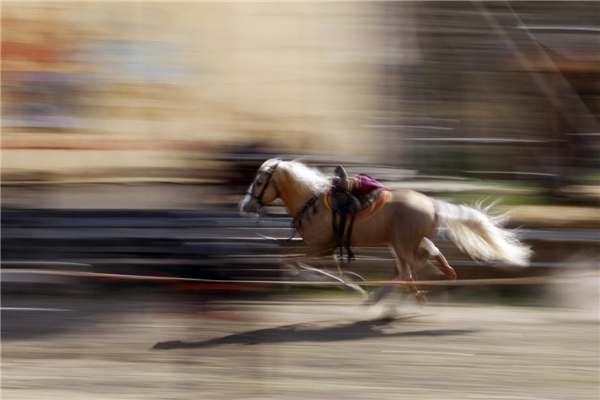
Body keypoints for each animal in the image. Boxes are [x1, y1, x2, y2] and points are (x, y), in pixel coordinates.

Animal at [238, 158, 528, 304]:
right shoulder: (325, 249)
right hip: (399, 242)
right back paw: (442, 274)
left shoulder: (319, 247)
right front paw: (350, 283)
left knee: (410, 269)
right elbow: (310, 263)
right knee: (420, 260)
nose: (244, 206)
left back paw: (394, 295)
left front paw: (348, 285)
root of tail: (433, 204)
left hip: (400, 243)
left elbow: (293, 260)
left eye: (260, 181)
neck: (310, 200)